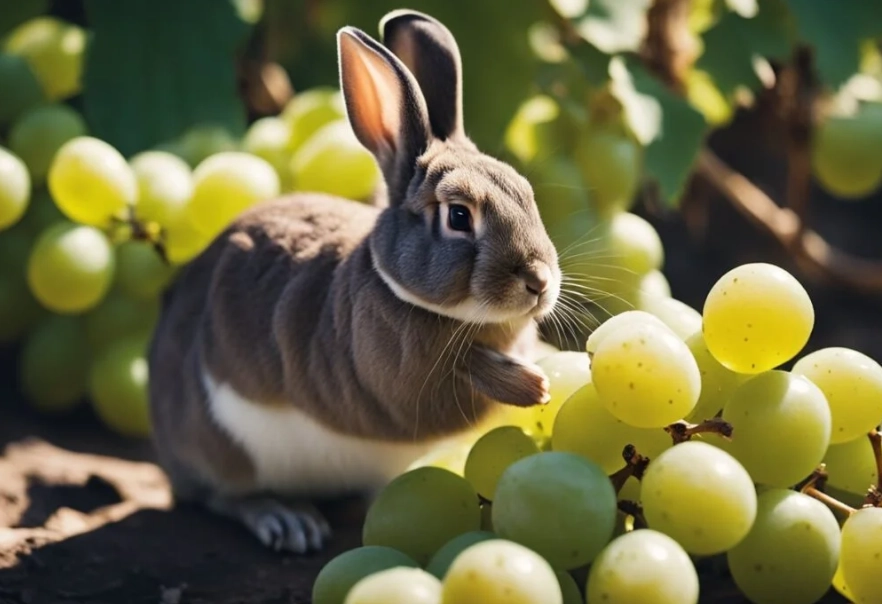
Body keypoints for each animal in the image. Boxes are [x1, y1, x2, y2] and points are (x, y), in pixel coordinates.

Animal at [147, 9, 562, 555]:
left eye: (527, 193)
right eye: (458, 215)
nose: (539, 282)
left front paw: (549, 367)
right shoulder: (401, 379)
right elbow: (459, 376)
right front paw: (533, 385)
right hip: (220, 446)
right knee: (222, 496)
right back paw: (287, 520)